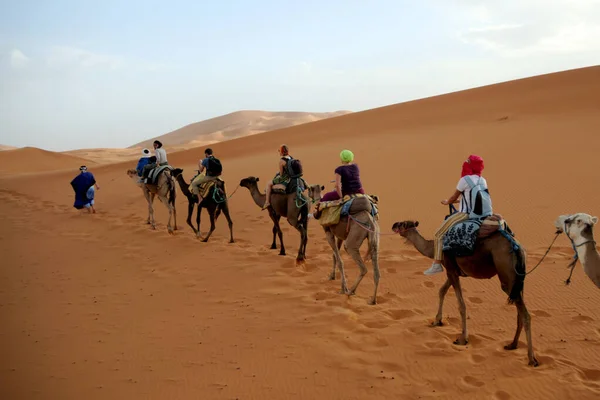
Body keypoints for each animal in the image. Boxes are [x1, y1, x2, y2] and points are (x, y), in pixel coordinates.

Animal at [392, 217, 536, 368]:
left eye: (402, 224)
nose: (393, 225)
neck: (433, 248)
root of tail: (518, 248)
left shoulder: (450, 269)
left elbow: (461, 305)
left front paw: (462, 339)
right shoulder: (454, 272)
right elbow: (442, 291)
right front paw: (437, 321)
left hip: (506, 276)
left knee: (525, 314)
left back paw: (531, 359)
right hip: (518, 280)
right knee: (520, 310)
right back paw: (512, 344)